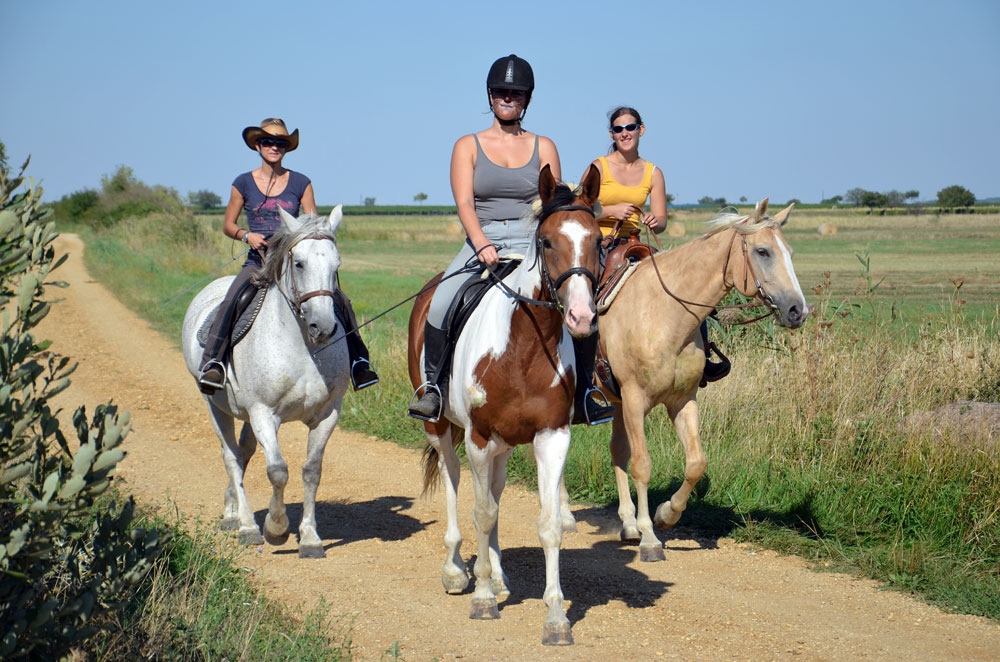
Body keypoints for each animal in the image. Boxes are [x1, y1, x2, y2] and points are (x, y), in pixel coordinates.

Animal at [182, 206, 350, 560]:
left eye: (336, 265)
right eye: (299, 263)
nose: (323, 327)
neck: (303, 347)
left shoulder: (327, 414)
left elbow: (311, 471)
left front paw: (310, 539)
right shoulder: (263, 413)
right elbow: (278, 470)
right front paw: (276, 528)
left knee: (243, 452)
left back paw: (233, 512)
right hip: (215, 405)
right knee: (231, 458)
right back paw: (246, 526)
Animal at [410, 166, 604, 648]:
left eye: (598, 240)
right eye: (547, 241)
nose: (581, 318)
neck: (523, 346)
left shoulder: (552, 436)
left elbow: (548, 523)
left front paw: (555, 618)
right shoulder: (479, 437)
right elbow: (481, 512)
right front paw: (481, 599)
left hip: (505, 444)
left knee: (494, 490)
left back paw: (496, 575)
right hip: (442, 429)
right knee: (455, 483)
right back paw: (458, 572)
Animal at [596, 200, 808, 564]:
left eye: (791, 253)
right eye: (763, 251)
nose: (798, 310)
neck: (665, 313)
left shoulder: (682, 401)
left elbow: (696, 463)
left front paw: (666, 515)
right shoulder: (635, 400)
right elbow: (642, 466)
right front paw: (649, 538)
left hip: (617, 402)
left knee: (617, 451)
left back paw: (627, 524)